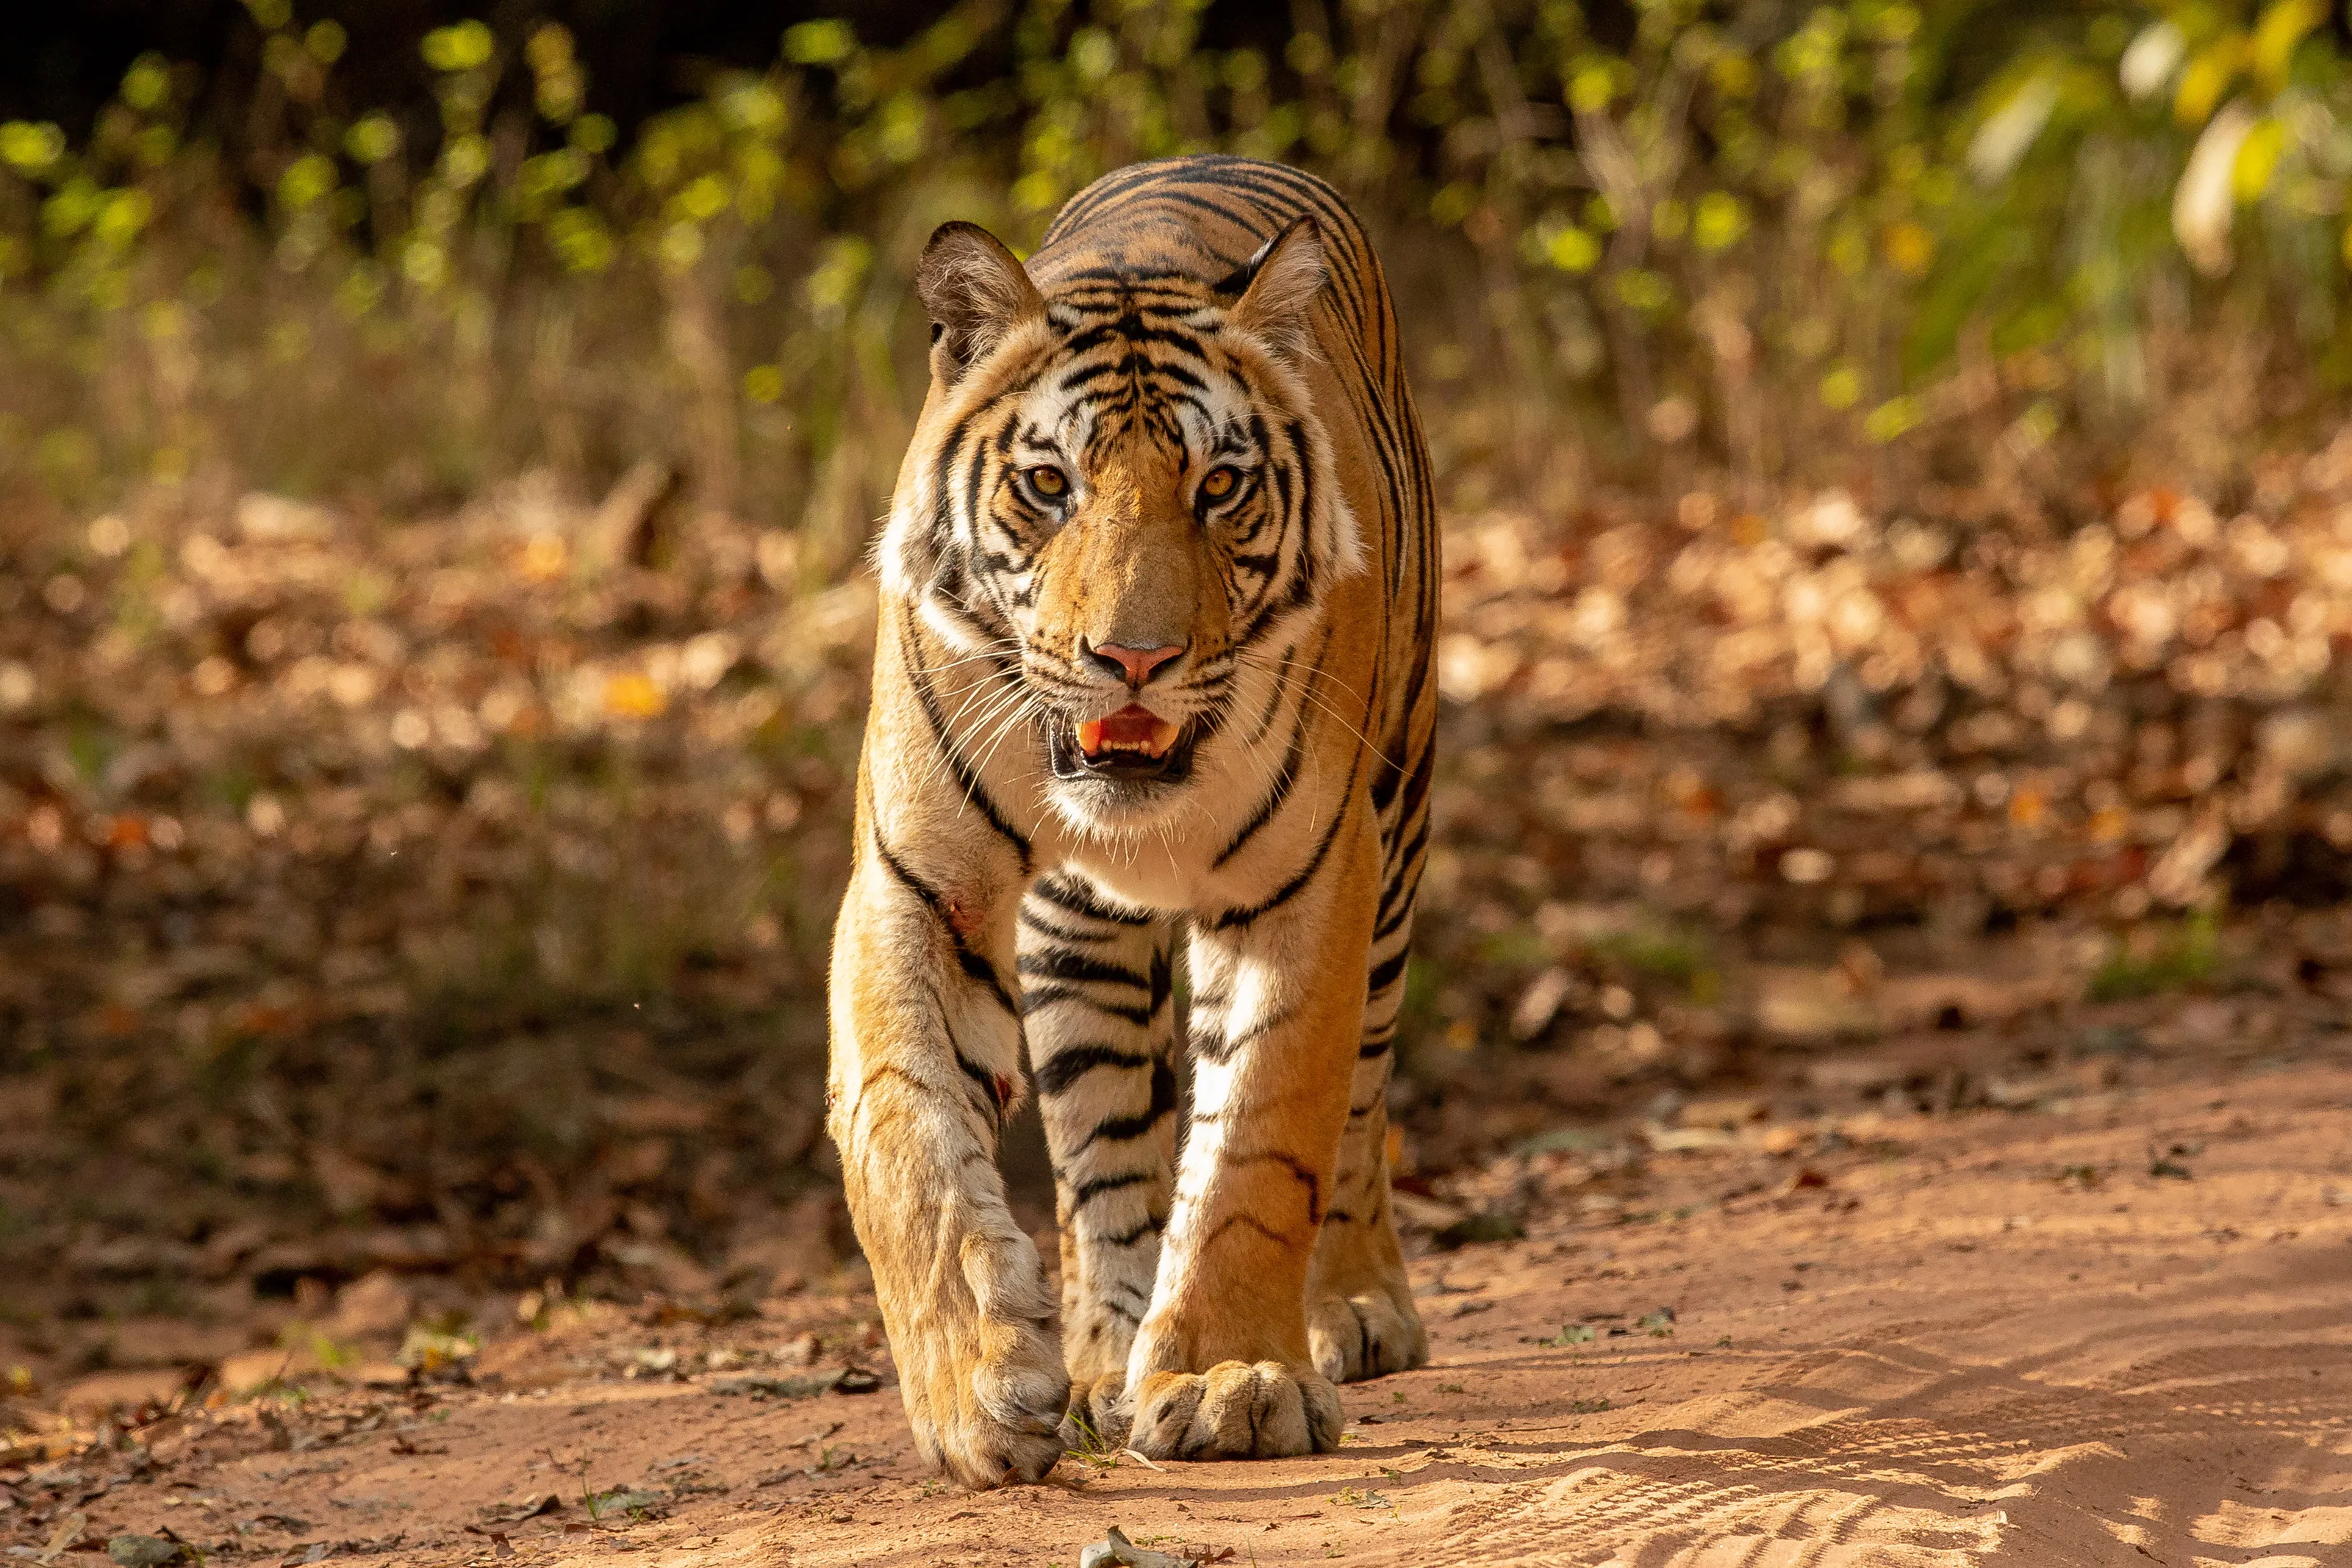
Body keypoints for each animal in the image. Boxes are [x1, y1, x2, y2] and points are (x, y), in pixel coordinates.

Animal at [825, 154, 1439, 1488]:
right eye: (1049, 484)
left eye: (1220, 486)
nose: (1135, 659)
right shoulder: (914, 876)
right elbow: (902, 1133)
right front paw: (978, 1390)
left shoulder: (1312, 876)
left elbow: (1264, 1133)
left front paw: (1231, 1380)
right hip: (1077, 932)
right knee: (1106, 1144)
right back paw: (1106, 1359)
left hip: (1401, 823)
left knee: (1360, 1100)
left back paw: (1353, 1306)